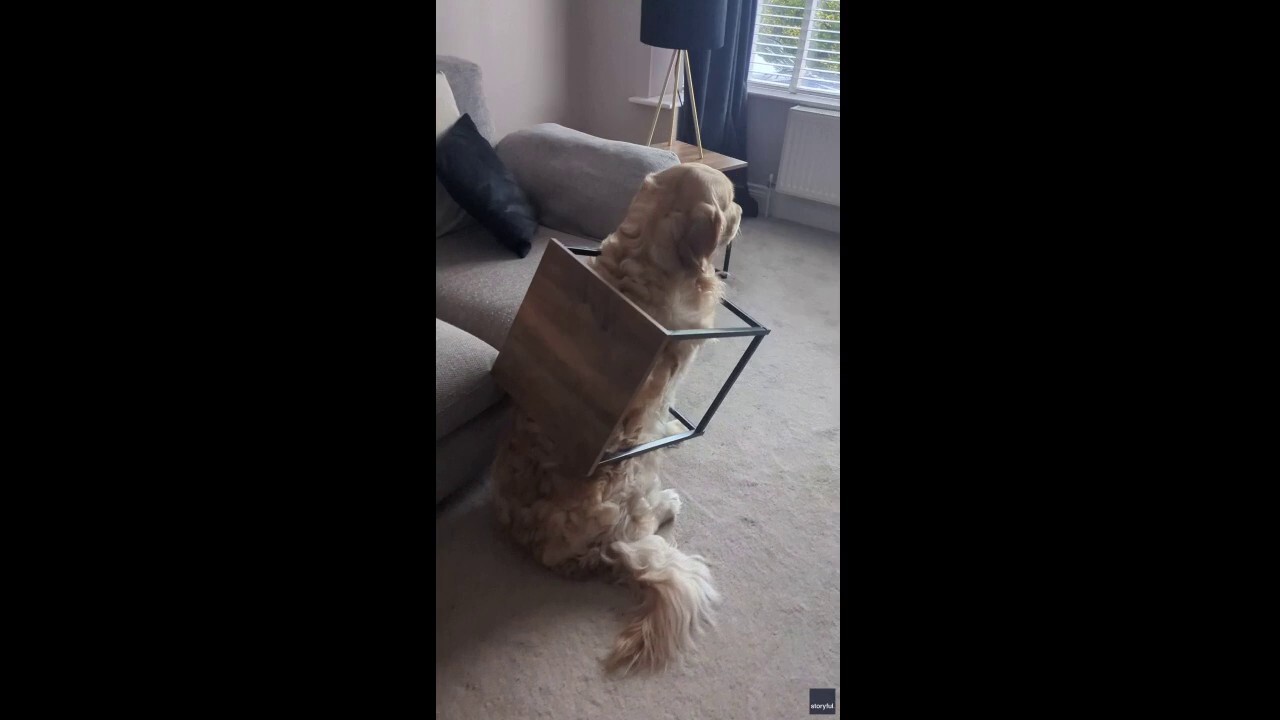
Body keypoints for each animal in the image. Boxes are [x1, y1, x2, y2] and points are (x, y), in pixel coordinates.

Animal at [491, 162, 747, 671]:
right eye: (730, 202)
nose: (746, 209)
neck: (648, 247)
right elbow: (668, 400)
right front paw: (673, 425)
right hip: (633, 468)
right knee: (645, 521)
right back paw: (667, 504)